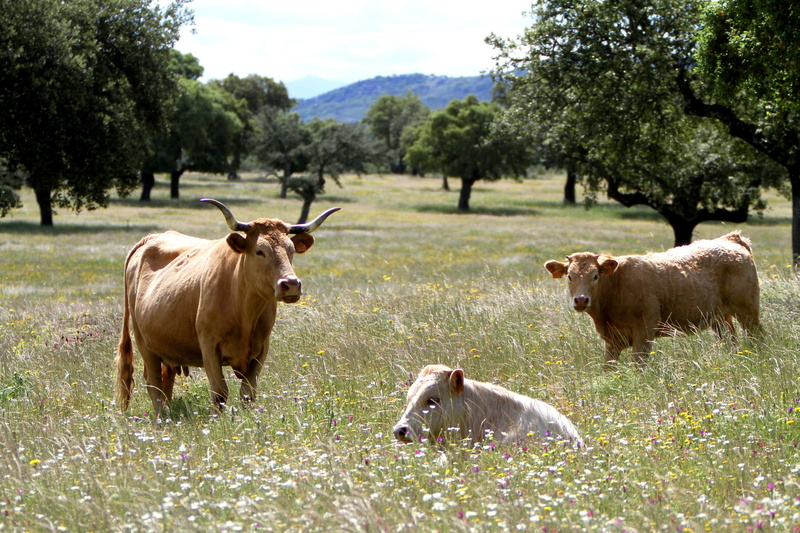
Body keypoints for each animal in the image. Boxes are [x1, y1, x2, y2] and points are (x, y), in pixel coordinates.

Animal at [116, 199, 339, 415]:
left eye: (291, 251)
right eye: (260, 251)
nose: (291, 284)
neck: (243, 310)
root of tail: (151, 238)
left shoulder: (261, 349)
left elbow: (248, 393)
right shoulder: (209, 347)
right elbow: (220, 393)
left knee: (165, 381)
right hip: (143, 342)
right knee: (153, 382)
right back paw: (160, 418)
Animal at [544, 231, 760, 366]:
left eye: (595, 276)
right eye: (569, 276)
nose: (581, 300)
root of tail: (729, 239)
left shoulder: (644, 330)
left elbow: (638, 363)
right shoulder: (612, 341)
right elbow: (609, 366)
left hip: (748, 310)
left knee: (756, 336)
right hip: (720, 318)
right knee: (730, 341)